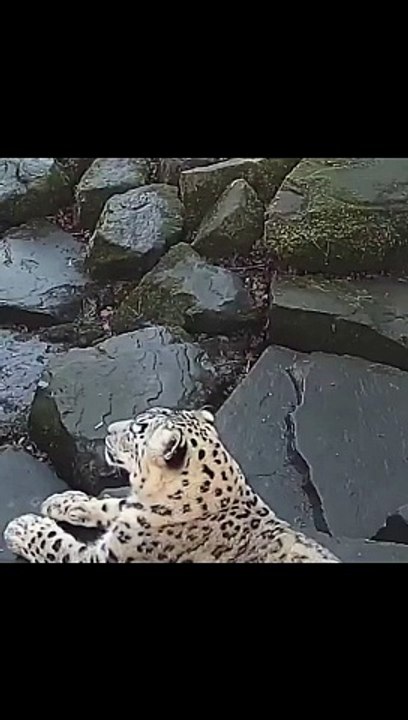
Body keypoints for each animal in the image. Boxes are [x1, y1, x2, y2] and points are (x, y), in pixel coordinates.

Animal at [3, 407, 340, 563]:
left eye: (138, 429)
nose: (109, 430)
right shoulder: (131, 511)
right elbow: (113, 504)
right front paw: (66, 501)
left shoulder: (110, 557)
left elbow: (55, 546)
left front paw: (22, 527)